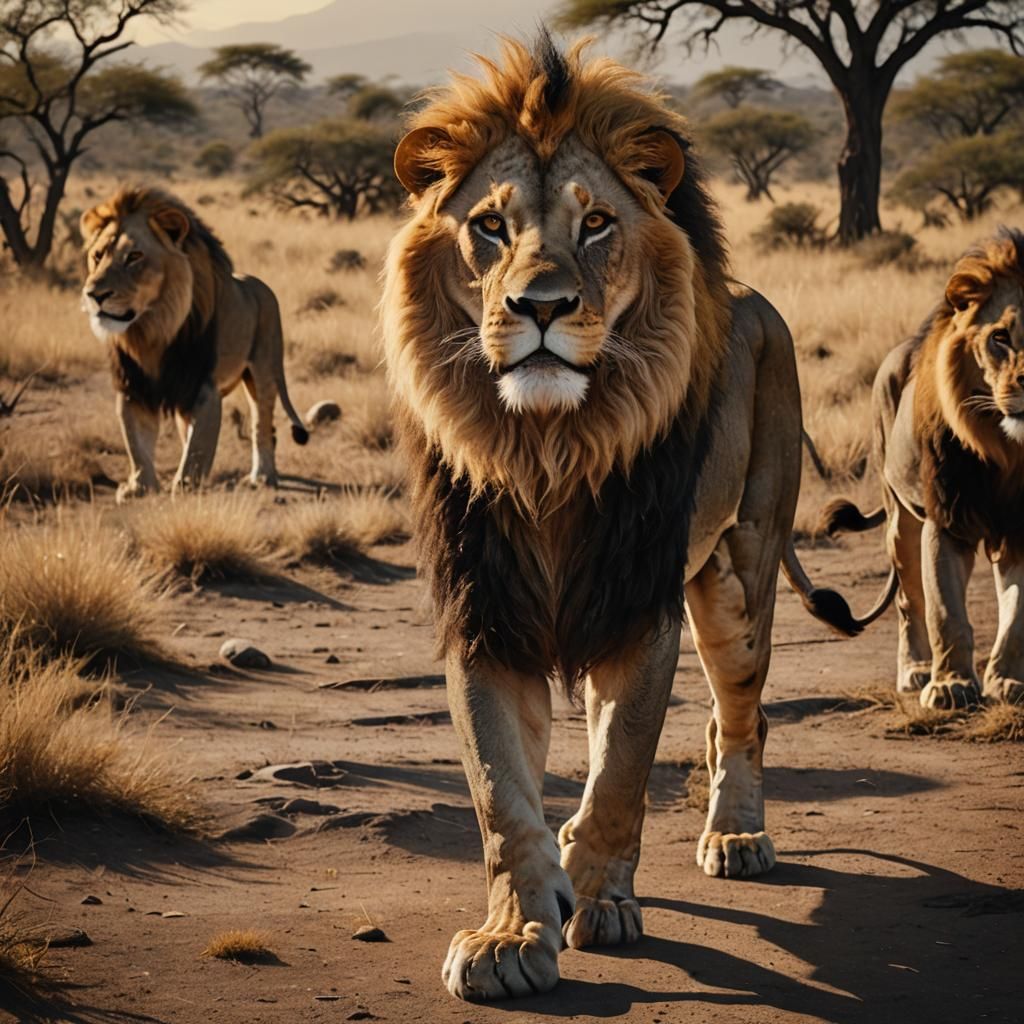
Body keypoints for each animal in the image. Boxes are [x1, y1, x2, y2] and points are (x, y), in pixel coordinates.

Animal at [80, 187, 308, 502]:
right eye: (98, 255)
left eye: (134, 256)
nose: (93, 294)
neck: (151, 329)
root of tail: (260, 284)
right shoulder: (134, 389)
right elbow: (137, 445)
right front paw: (139, 487)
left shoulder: (203, 387)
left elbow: (197, 448)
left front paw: (185, 486)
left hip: (263, 370)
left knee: (261, 424)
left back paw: (263, 476)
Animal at [383, 35, 868, 1002]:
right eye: (489, 226)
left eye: (597, 223)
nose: (540, 306)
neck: (549, 450)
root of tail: (757, 303)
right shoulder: (488, 613)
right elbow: (503, 794)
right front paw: (512, 934)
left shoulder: (642, 607)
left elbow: (622, 767)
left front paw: (604, 900)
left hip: (738, 573)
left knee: (740, 716)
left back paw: (736, 836)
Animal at [821, 227, 1024, 711]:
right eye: (1000, 337)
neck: (1007, 452)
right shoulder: (945, 519)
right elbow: (944, 611)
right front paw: (951, 686)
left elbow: (1017, 617)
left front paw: (1007, 681)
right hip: (899, 518)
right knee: (908, 602)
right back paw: (914, 671)